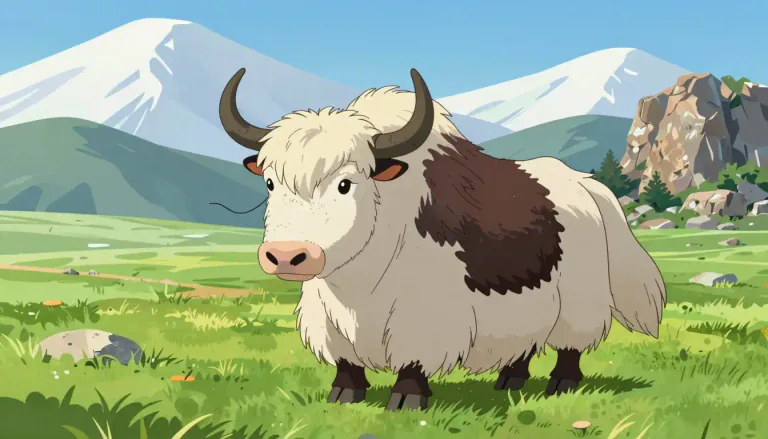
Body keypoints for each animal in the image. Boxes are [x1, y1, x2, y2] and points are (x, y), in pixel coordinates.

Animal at [218, 67, 667, 411]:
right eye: (270, 183)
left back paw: (561, 385)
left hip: (578, 302)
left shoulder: (423, 316)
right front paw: (344, 395)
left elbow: (413, 361)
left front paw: (406, 400)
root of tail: (587, 186)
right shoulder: (327, 316)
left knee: (571, 345)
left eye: (346, 184)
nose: (286, 256)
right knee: (524, 344)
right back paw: (509, 381)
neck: (356, 280)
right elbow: (346, 361)